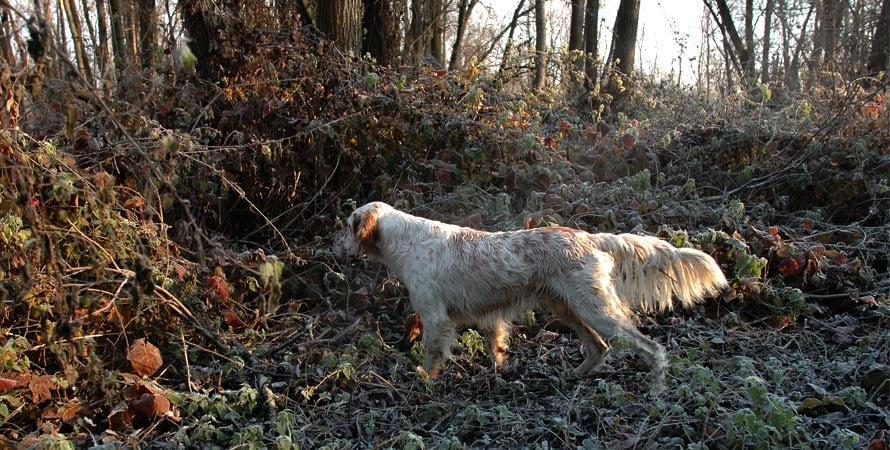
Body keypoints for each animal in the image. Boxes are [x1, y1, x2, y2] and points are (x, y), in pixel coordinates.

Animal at [330, 202, 724, 392]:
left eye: (348, 225)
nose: (333, 244)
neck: (405, 240)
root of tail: (588, 237)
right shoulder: (490, 317)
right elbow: (497, 349)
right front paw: (501, 373)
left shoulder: (435, 317)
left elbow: (431, 356)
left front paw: (424, 380)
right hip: (568, 308)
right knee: (599, 347)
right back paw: (572, 376)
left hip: (595, 309)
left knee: (649, 347)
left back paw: (656, 387)